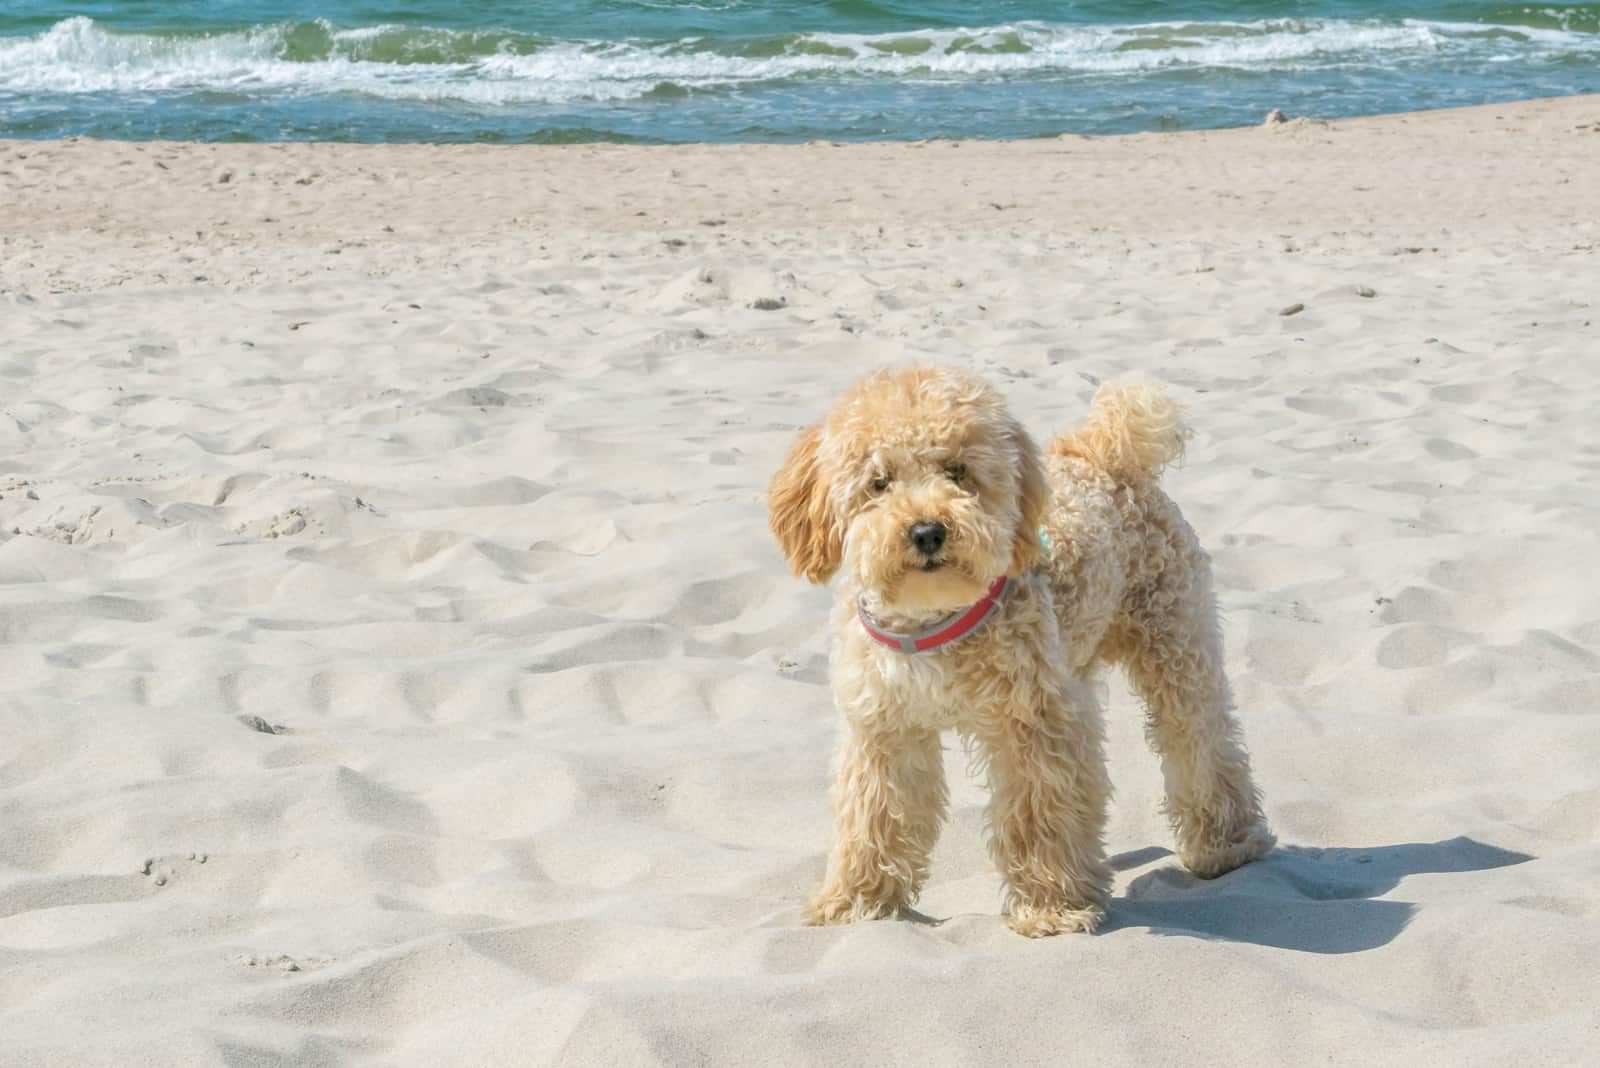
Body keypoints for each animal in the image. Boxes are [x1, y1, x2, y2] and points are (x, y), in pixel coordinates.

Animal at [768, 367, 1280, 933]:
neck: (934, 619)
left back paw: (1226, 843)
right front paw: (856, 902)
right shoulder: (884, 731)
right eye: (878, 482)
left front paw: (1052, 905)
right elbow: (874, 817)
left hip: (1176, 646)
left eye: (957, 471)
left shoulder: (1035, 725)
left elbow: (1043, 815)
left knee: (1202, 742)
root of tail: (1102, 450)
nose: (926, 531)